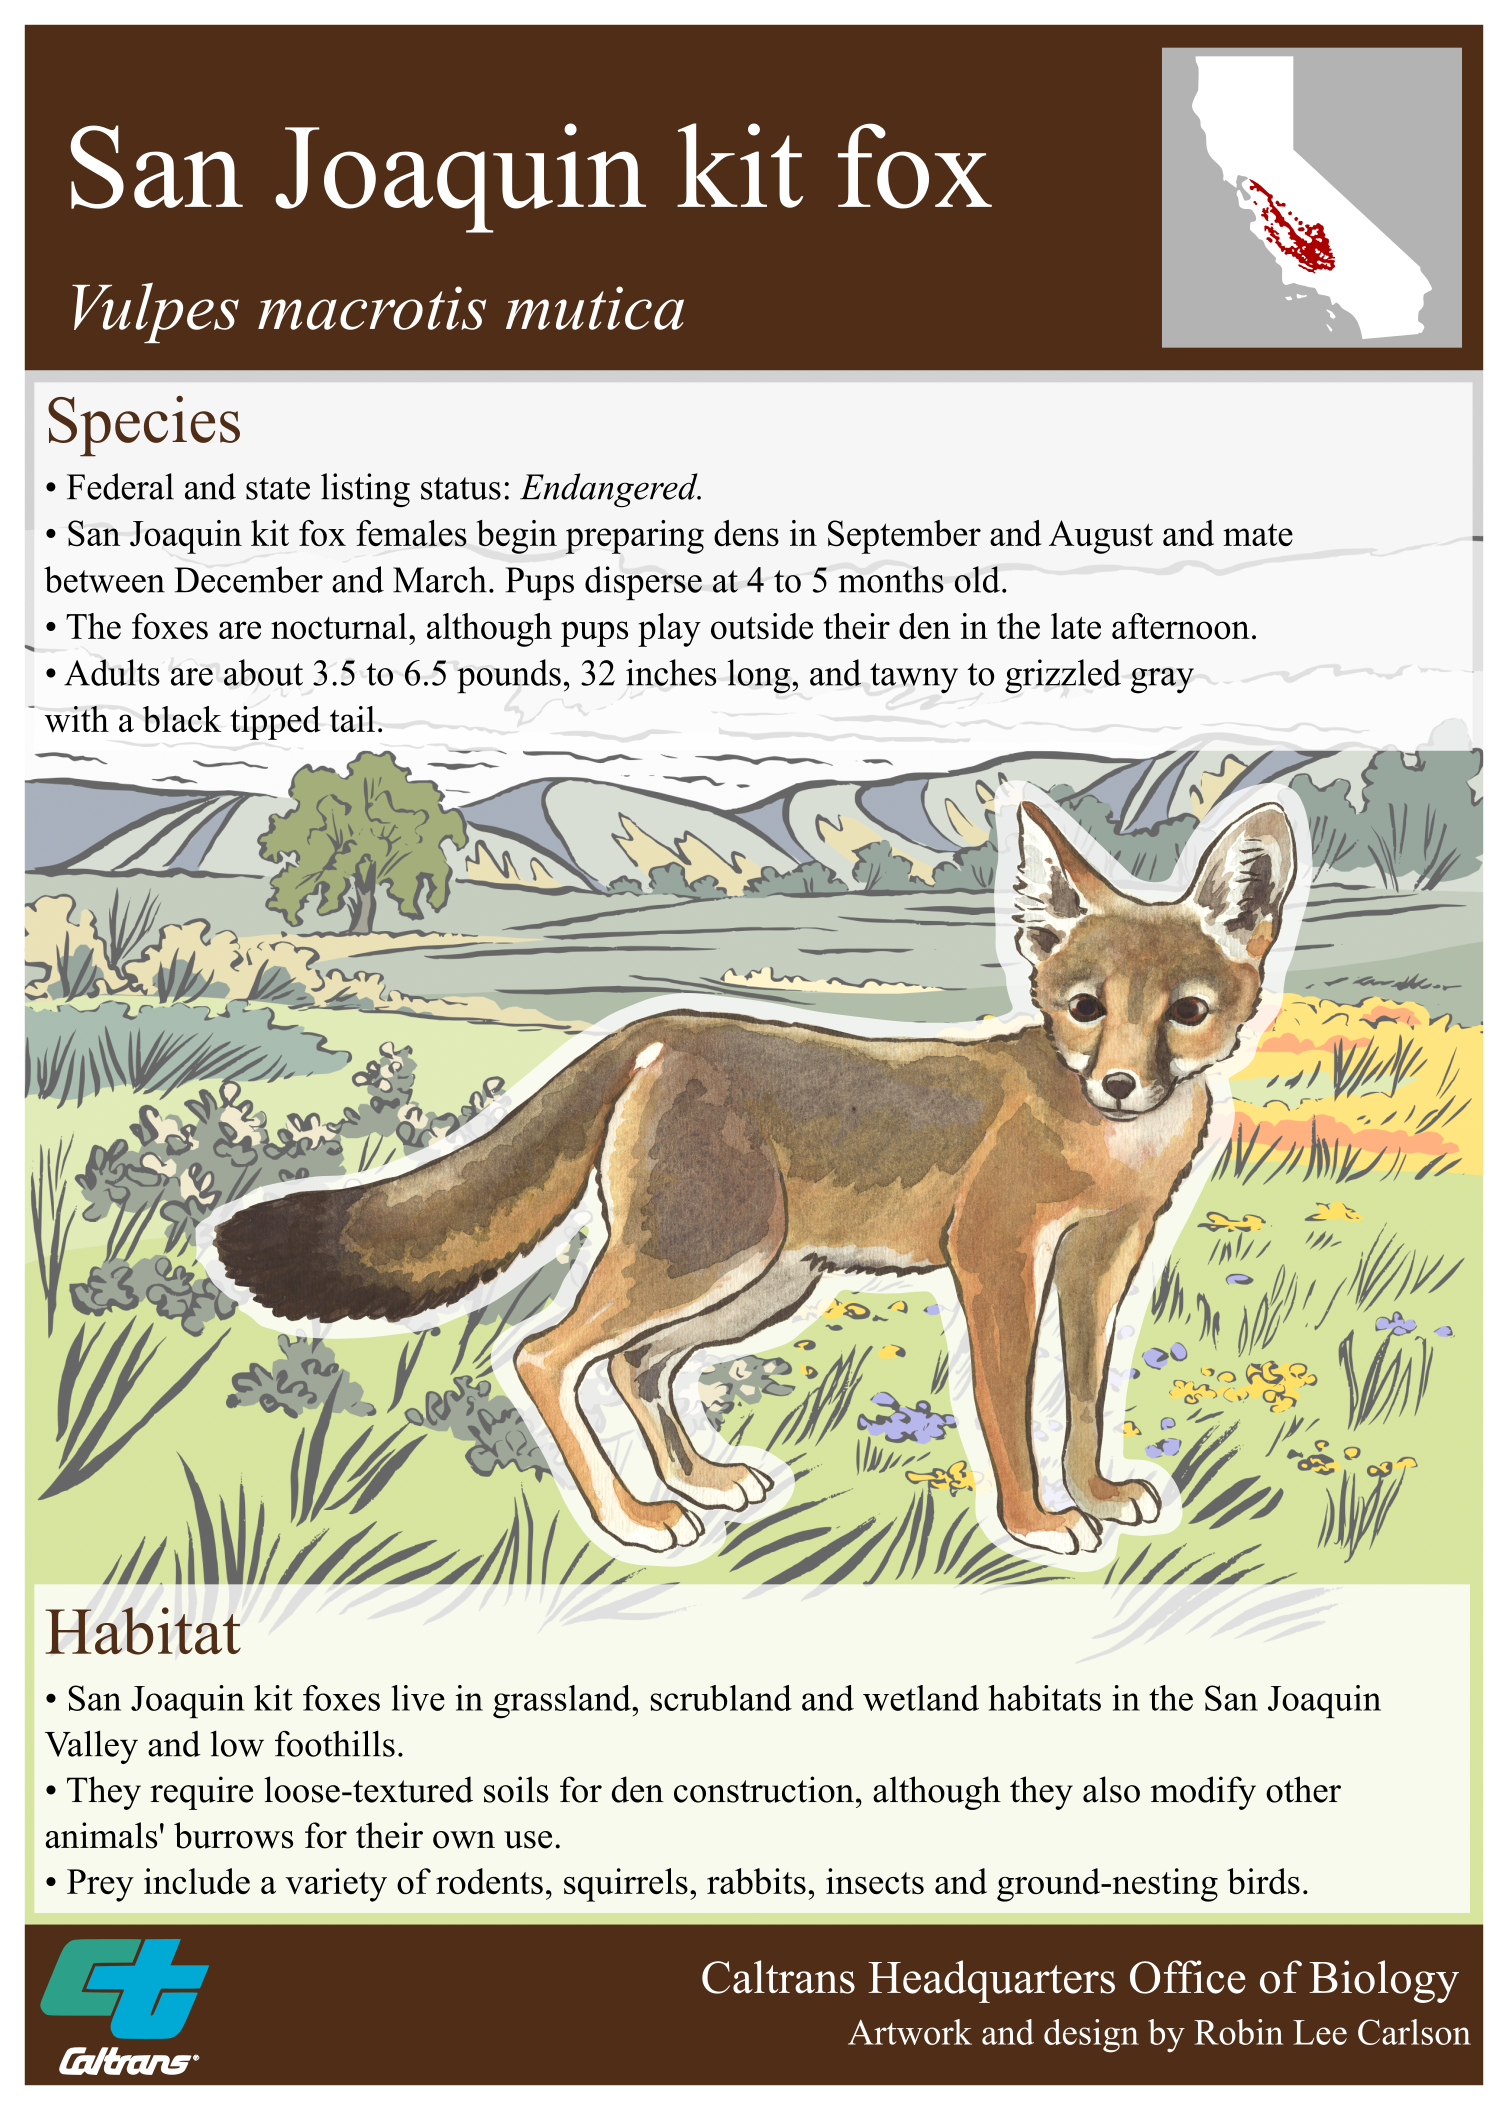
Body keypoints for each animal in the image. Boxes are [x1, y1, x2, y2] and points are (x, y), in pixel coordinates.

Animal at [209, 796, 1297, 1561]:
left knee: (636, 1365)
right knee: (544, 1354)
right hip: (705, 1258)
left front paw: (1101, 1494)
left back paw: (700, 1482)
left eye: (1185, 1012)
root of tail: (655, 1028)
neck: (1105, 1143)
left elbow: (1082, 1401)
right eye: (1084, 1007)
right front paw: (1036, 1522)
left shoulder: (1103, 1265)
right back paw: (637, 1517)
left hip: (758, 1281)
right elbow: (1006, 1413)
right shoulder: (994, 1263)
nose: (1118, 1082)